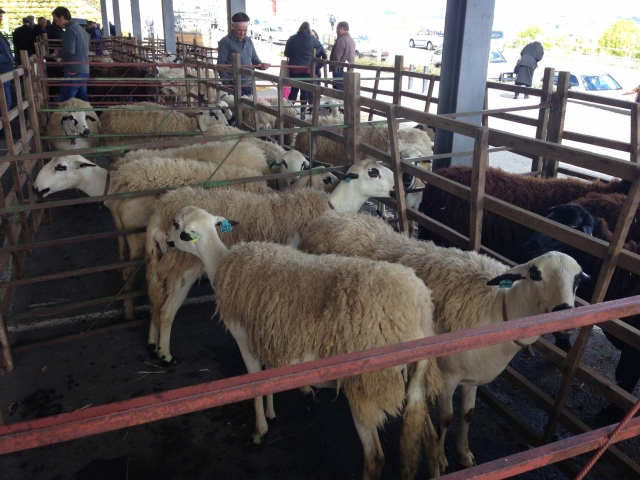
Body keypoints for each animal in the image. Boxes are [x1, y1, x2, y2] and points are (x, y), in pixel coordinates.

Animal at [146, 158, 396, 364]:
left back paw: (153, 343)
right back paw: (165, 354)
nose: (395, 189)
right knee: (167, 309)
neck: (335, 206)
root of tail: (159, 211)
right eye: (373, 172)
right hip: (182, 265)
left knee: (155, 298)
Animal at [165, 207, 444, 480]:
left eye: (177, 225)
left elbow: (254, 388)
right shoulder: (270, 337)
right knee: (429, 436)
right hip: (415, 380)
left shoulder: (245, 340)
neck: (220, 261)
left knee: (375, 457)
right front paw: (271, 414)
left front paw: (259, 431)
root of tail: (418, 307)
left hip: (367, 385)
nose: (166, 242)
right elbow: (269, 379)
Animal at [300, 213, 592, 472]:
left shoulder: (472, 378)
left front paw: (465, 453)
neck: (498, 310)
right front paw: (441, 459)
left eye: (578, 279)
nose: (564, 311)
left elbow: (468, 414)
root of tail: (327, 218)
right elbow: (446, 418)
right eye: (535, 273)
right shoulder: (447, 376)